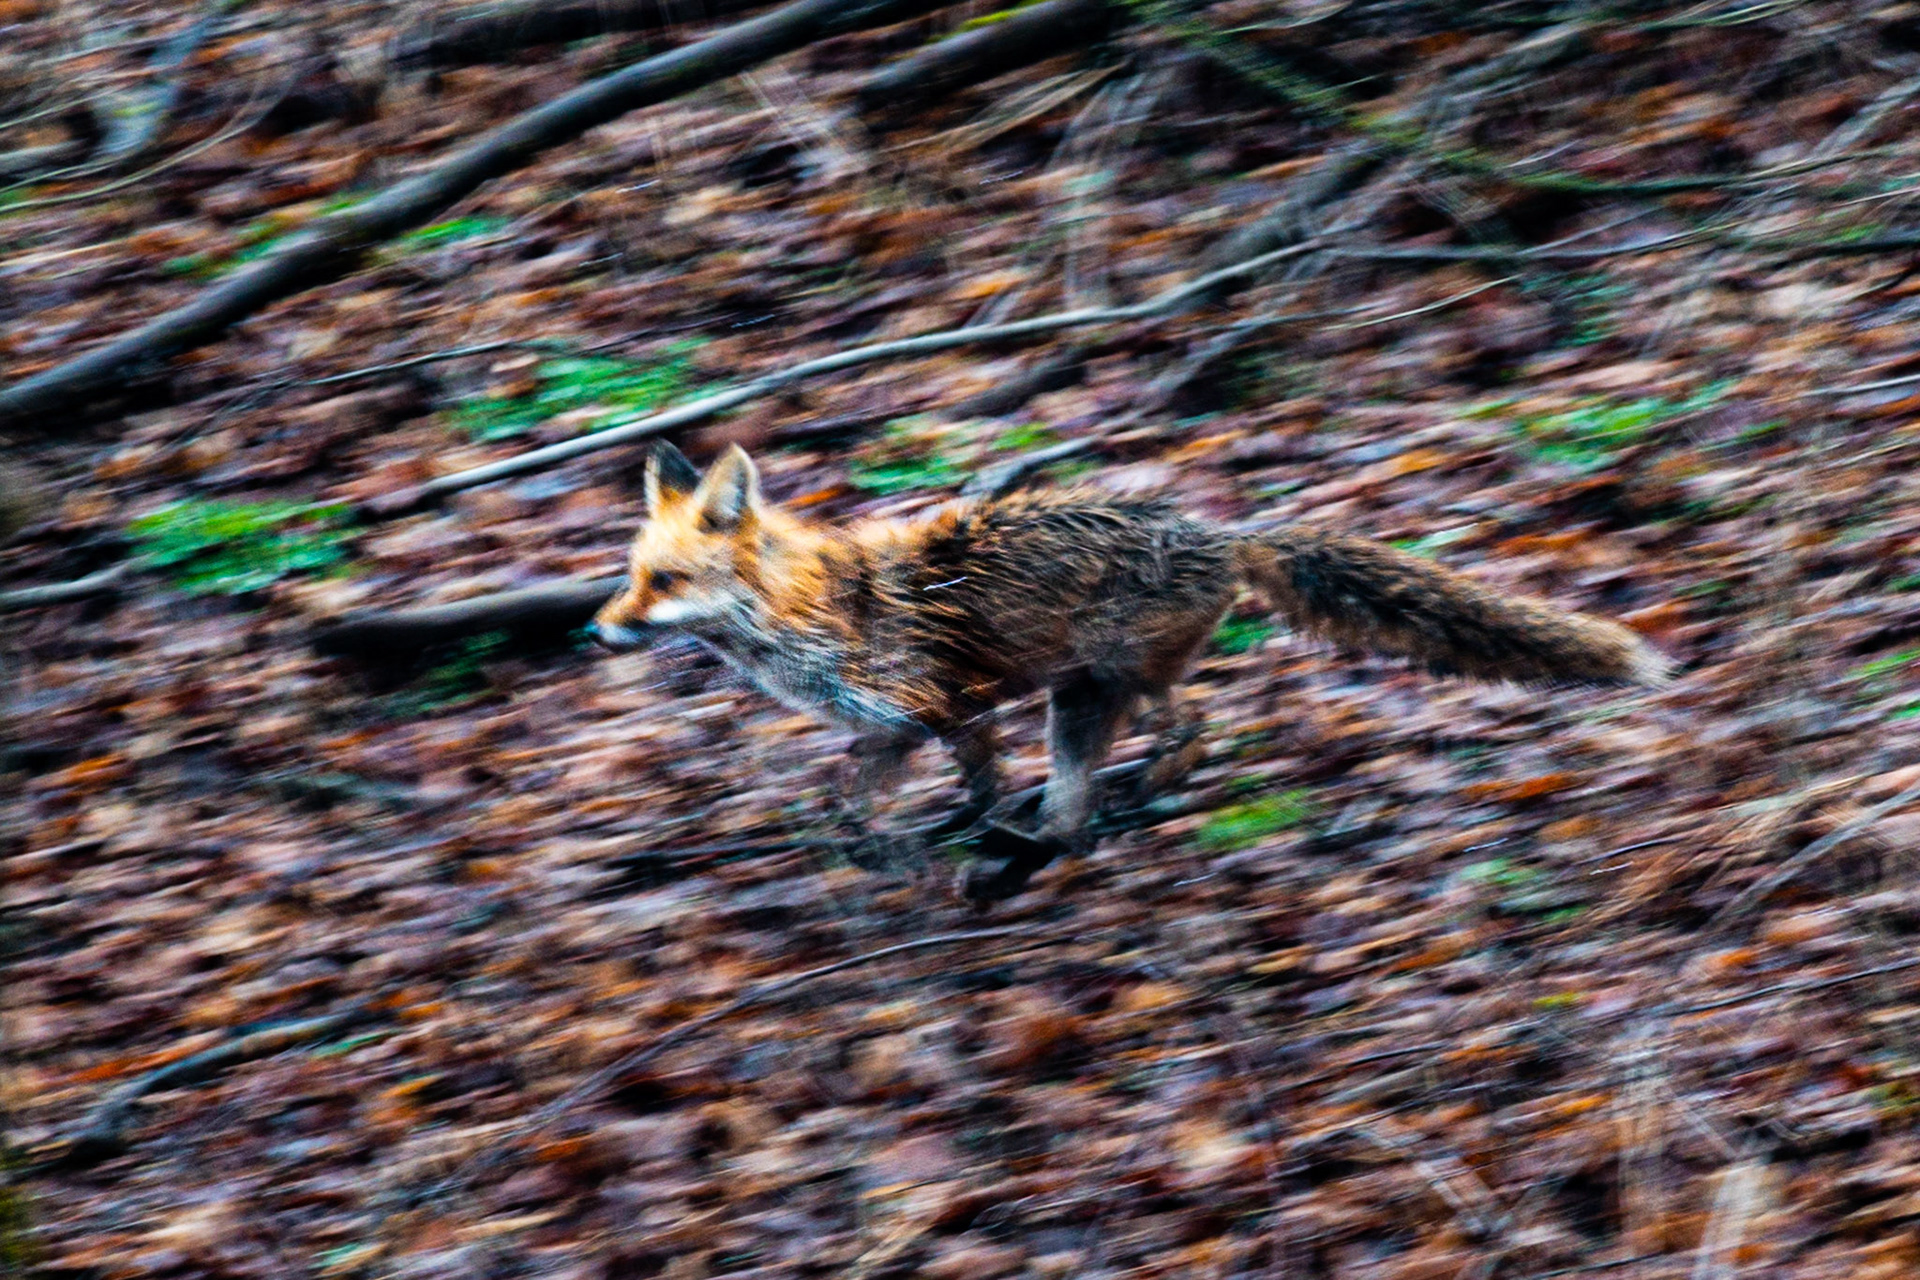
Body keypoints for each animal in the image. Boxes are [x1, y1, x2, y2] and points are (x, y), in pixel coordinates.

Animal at [589, 442, 1669, 901]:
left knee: (1183, 740)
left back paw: (1091, 819)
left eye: (665, 581)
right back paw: (1046, 846)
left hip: (1101, 685)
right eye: (630, 577)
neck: (812, 617)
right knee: (1106, 786)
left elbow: (951, 796)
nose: (594, 634)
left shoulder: (949, 709)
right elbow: (854, 808)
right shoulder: (897, 730)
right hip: (1085, 698)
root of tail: (1219, 531)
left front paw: (934, 845)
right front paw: (900, 849)